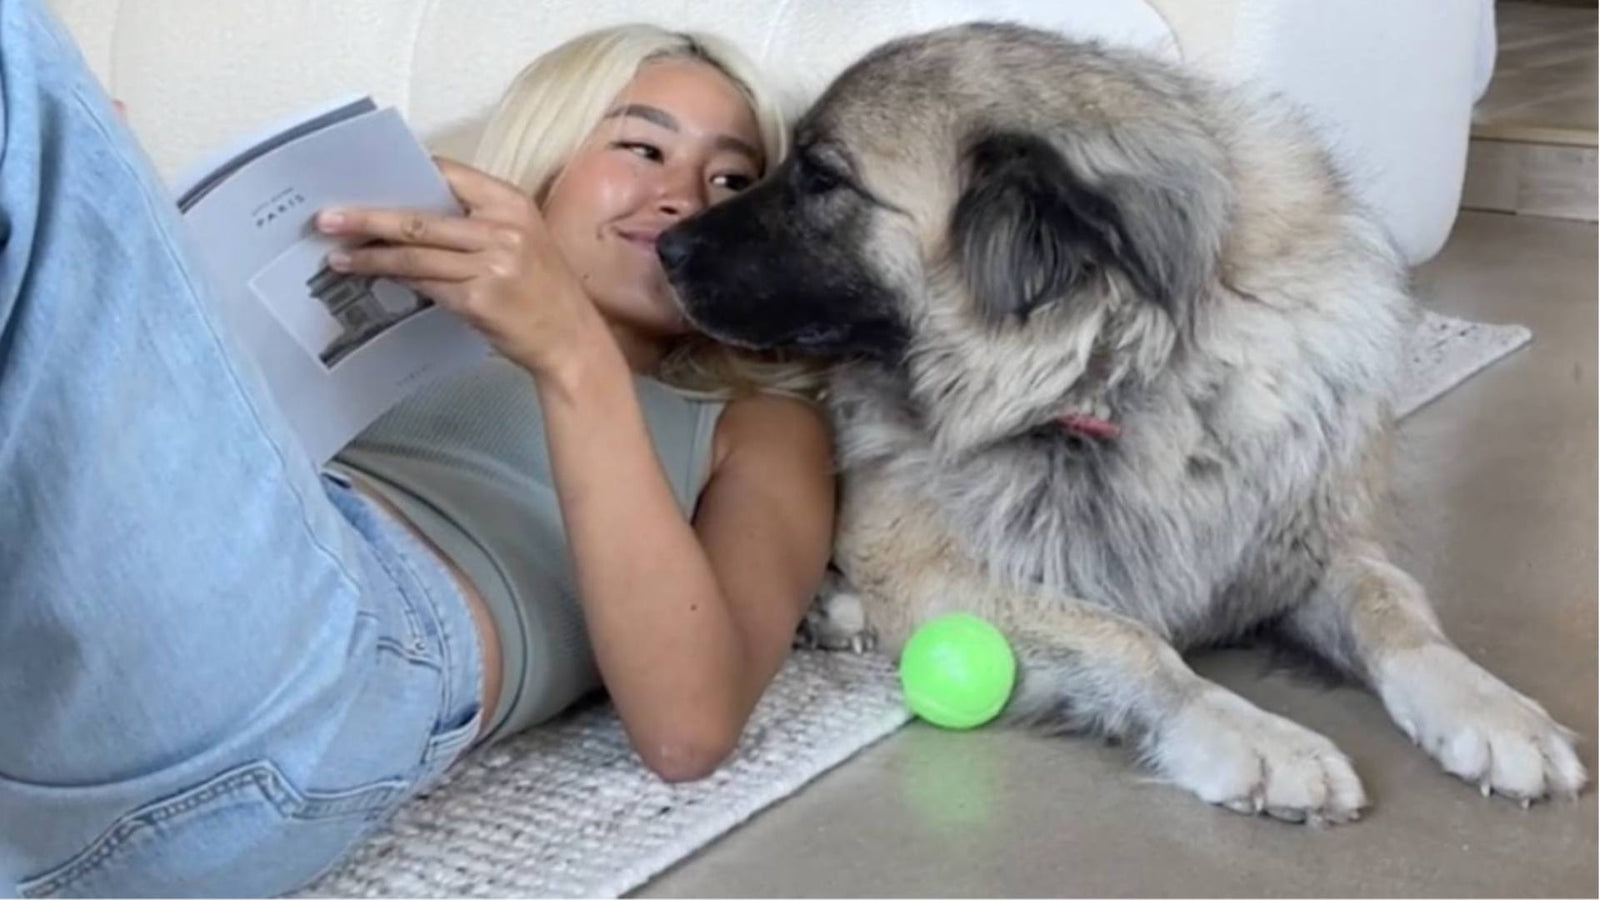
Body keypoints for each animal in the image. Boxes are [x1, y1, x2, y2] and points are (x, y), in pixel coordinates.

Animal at [656, 21, 1580, 819]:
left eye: (821, 177)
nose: (666, 249)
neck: (1125, 379)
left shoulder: (1304, 543)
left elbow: (1401, 611)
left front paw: (1495, 712)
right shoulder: (934, 570)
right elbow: (1130, 639)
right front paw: (1255, 736)